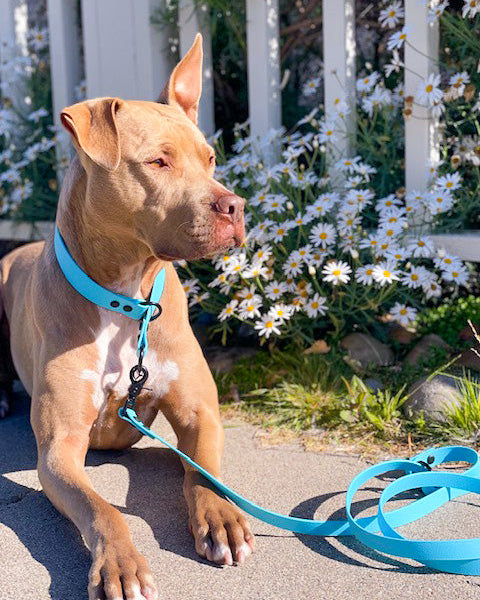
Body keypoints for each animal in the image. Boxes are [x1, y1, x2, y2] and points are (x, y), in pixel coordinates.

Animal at [0, 36, 255, 600]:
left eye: (209, 159)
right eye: (158, 162)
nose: (235, 206)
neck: (125, 297)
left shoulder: (199, 414)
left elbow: (204, 474)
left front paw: (222, 518)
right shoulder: (58, 450)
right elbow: (103, 511)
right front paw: (119, 564)